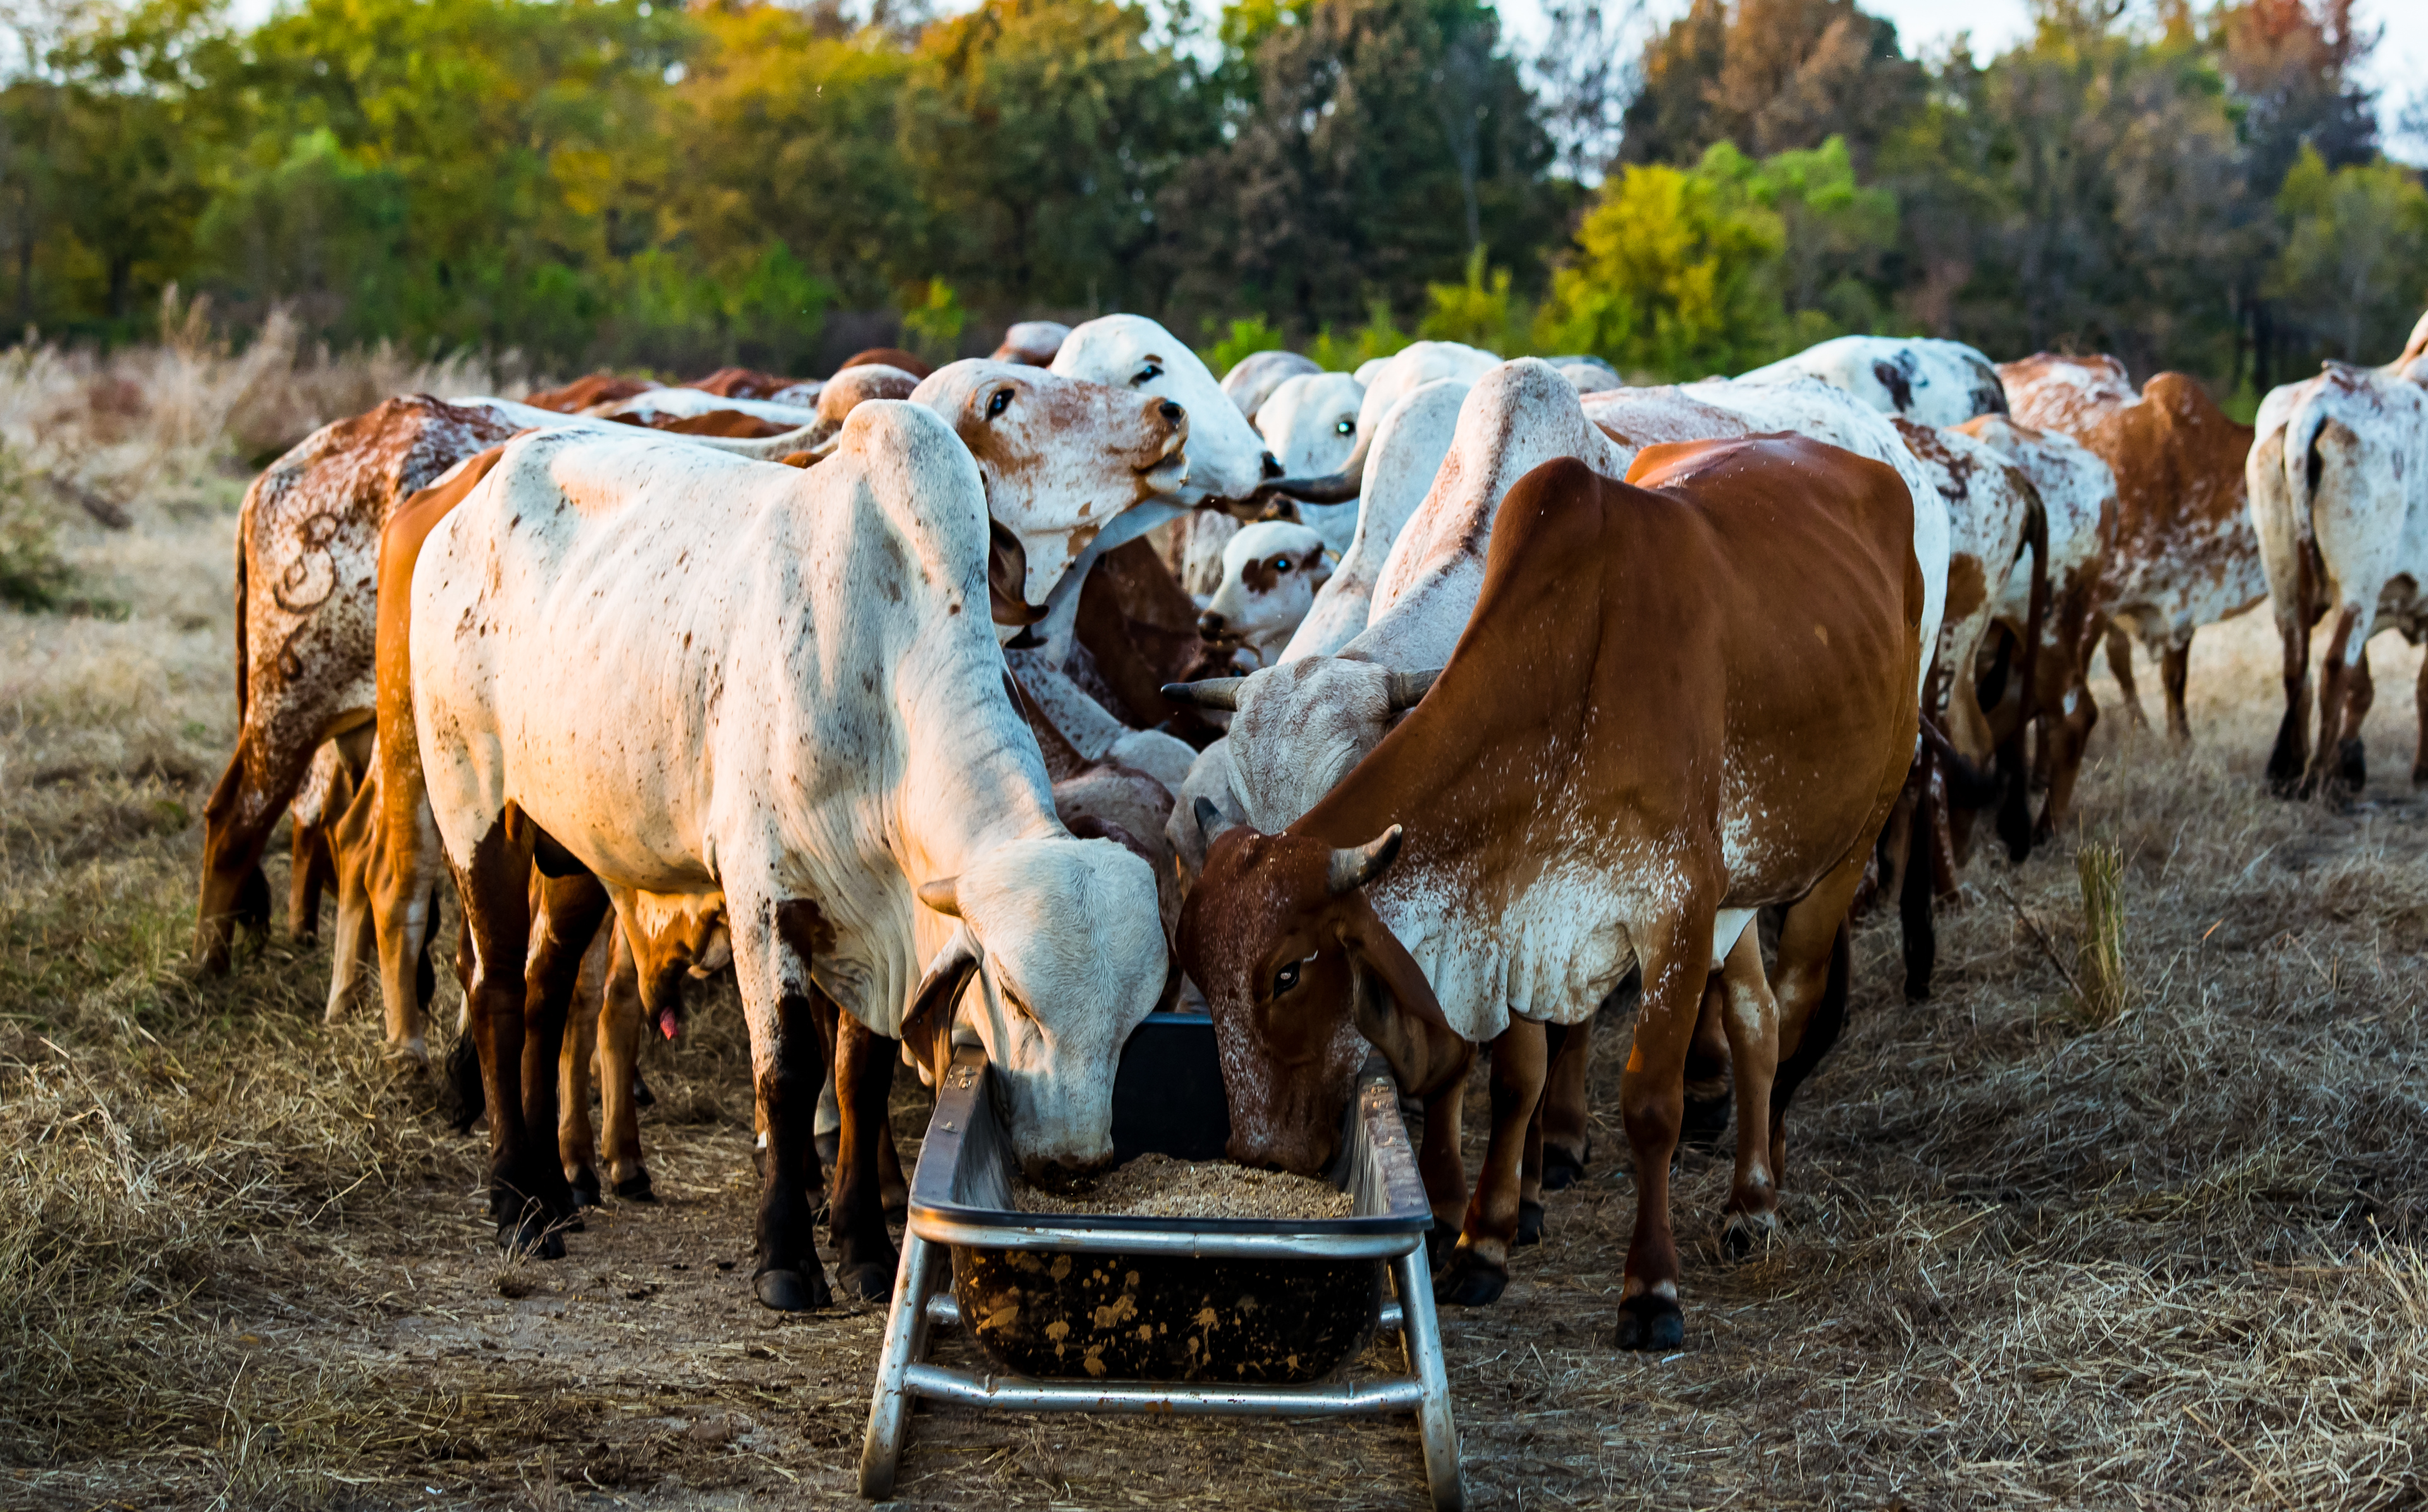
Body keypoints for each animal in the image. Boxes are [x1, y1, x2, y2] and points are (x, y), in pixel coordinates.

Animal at [407, 404, 1171, 1308]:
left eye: (1137, 1019)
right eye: (1016, 997)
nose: (1077, 1165)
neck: (884, 681)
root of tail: (464, 505)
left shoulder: (875, 923)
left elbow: (858, 1077)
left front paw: (864, 1246)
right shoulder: (762, 897)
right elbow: (788, 1073)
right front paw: (785, 1256)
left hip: (578, 848)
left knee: (543, 992)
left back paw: (556, 1193)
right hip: (473, 807)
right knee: (492, 991)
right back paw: (514, 1204)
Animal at [1178, 434, 1923, 1346]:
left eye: (1287, 973)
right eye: (1198, 973)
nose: (1261, 1154)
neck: (1568, 685)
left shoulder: (1673, 909)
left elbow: (1650, 1103)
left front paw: (1650, 1293)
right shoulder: (1524, 921)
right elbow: (1517, 1080)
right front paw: (1484, 1244)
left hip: (1844, 850)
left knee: (1790, 1009)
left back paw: (1757, 1195)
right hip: (1739, 896)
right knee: (1752, 1016)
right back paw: (1749, 1190)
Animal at [2248, 342, 2428, 798]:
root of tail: (2318, 401)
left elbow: (2365, 688)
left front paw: (2353, 764)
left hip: (2285, 582)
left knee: (2297, 667)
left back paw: (2292, 769)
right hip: (2358, 585)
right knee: (2334, 667)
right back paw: (2320, 780)